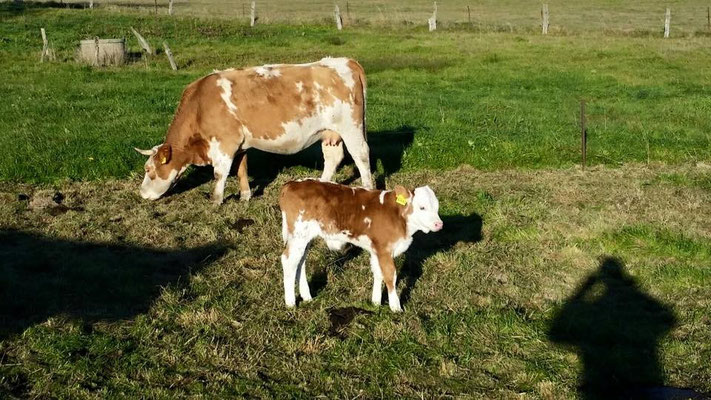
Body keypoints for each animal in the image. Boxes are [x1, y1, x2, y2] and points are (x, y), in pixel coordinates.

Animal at [136, 57, 376, 203]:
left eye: (149, 170)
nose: (142, 193)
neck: (201, 103)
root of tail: (345, 61)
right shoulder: (241, 144)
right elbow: (241, 169)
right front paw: (244, 196)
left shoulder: (224, 143)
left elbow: (220, 173)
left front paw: (216, 200)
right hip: (329, 133)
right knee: (333, 158)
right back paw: (321, 184)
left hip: (351, 128)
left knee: (361, 156)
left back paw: (367, 188)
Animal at [280, 179, 442, 312]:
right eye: (422, 207)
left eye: (436, 207)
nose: (439, 224)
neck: (398, 216)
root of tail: (291, 184)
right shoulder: (384, 249)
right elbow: (390, 275)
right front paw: (395, 307)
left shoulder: (376, 249)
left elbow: (378, 273)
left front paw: (375, 302)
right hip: (298, 235)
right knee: (288, 261)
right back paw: (290, 303)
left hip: (305, 237)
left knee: (300, 262)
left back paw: (307, 297)